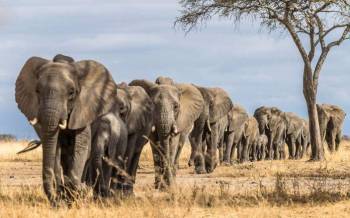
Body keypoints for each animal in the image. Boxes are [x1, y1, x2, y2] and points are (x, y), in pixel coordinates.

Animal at [15, 54, 118, 204]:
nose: (55, 201)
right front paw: (64, 196)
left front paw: (78, 191)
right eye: (37, 91)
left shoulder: (83, 110)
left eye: (71, 93)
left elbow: (81, 145)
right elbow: (54, 148)